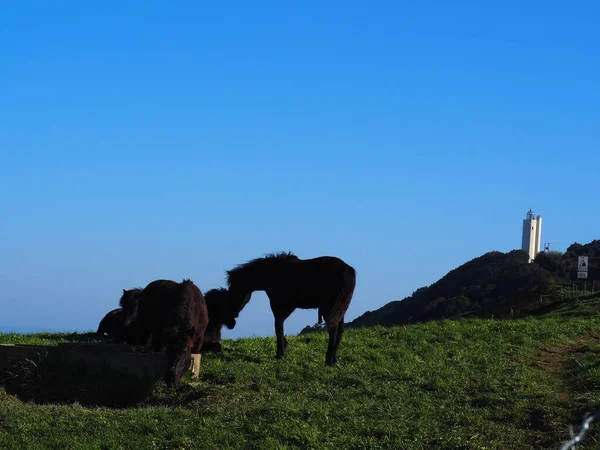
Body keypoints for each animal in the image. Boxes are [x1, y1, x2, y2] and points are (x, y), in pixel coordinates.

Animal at [225, 251, 356, 364]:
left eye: (234, 289)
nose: (233, 315)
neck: (271, 273)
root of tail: (348, 269)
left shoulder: (278, 305)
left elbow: (278, 328)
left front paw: (280, 353)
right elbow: (280, 327)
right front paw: (284, 349)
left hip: (329, 308)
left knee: (333, 331)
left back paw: (328, 361)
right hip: (340, 309)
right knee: (340, 331)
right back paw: (334, 360)